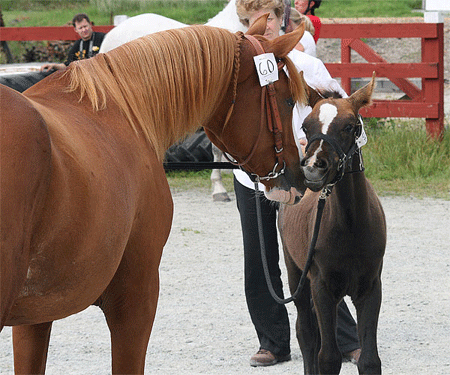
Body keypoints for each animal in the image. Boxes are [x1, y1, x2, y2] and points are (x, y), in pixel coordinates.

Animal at [278, 74, 386, 375]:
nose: (313, 170)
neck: (351, 225)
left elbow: (369, 359)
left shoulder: (371, 288)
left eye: (350, 126)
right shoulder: (322, 288)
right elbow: (327, 358)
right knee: (306, 333)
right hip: (297, 274)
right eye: (306, 125)